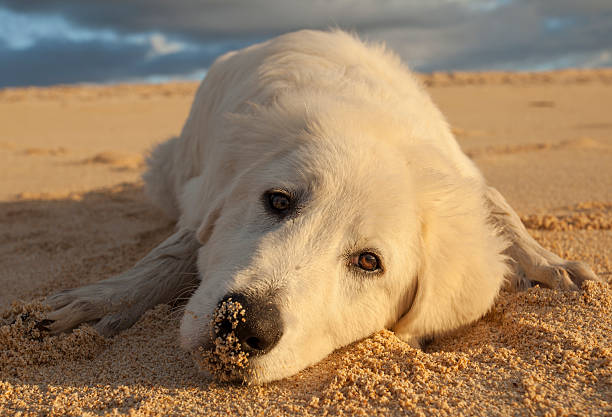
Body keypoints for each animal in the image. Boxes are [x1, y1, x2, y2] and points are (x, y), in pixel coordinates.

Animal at [45, 28, 600, 380]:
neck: (370, 121)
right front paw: (103, 300)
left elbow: (497, 204)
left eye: (369, 262)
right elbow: (176, 250)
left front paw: (548, 263)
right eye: (277, 200)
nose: (243, 325)